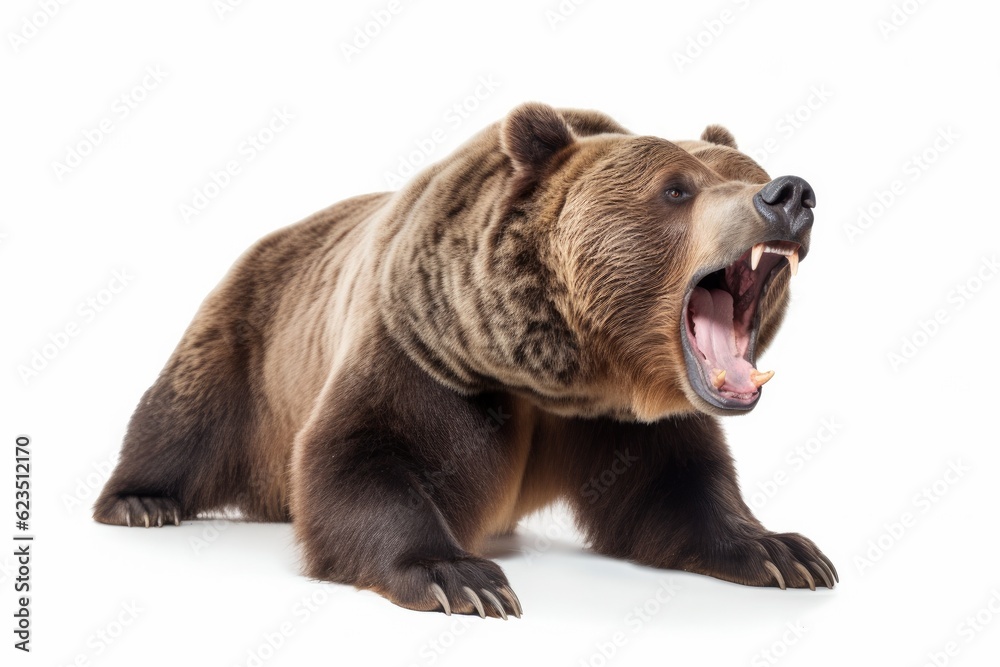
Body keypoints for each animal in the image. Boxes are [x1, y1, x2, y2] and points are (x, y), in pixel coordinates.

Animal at [94, 102, 835, 619]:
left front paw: (784, 550)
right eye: (676, 188)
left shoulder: (626, 418)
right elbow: (362, 458)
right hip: (254, 331)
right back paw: (139, 500)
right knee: (188, 410)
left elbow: (679, 484)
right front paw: (461, 576)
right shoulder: (425, 355)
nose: (789, 194)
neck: (566, 372)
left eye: (749, 172)